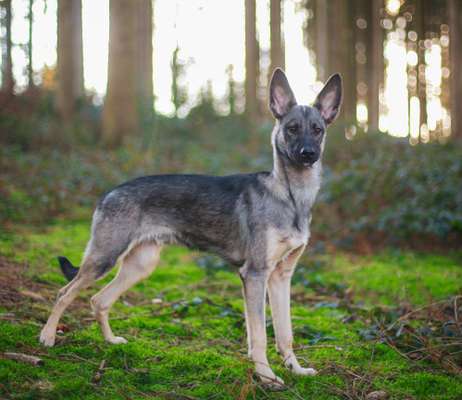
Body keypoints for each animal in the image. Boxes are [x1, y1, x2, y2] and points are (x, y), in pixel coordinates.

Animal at [39, 69, 342, 388]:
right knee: (65, 293)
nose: (308, 154)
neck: (291, 197)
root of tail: (109, 193)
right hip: (104, 258)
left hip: (140, 265)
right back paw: (47, 337)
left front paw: (295, 369)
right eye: (292, 128)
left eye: (318, 130)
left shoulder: (281, 277)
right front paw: (266, 376)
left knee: (99, 300)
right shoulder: (255, 275)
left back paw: (110, 341)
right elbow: (258, 335)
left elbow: (286, 333)